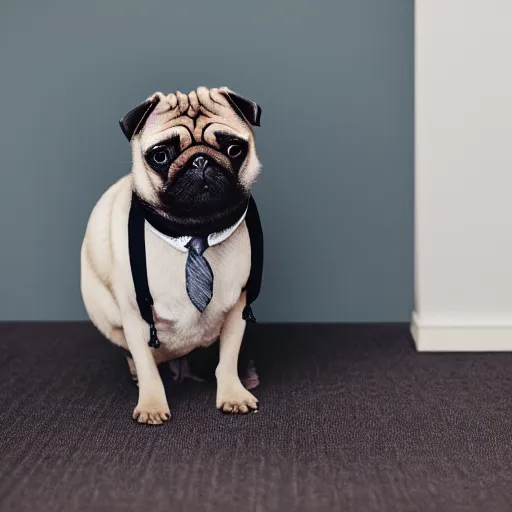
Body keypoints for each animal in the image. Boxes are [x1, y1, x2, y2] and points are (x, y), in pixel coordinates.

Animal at [81, 87, 264, 424]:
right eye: (161, 156)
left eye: (234, 149)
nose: (200, 160)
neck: (195, 229)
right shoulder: (136, 316)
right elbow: (147, 365)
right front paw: (152, 404)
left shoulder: (237, 309)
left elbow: (228, 358)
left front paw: (233, 393)